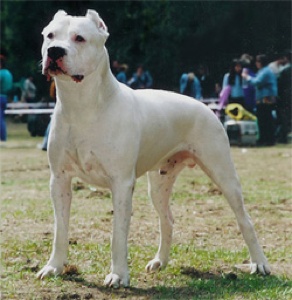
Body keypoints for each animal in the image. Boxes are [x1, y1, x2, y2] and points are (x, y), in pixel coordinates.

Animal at [37, 9, 272, 288]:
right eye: (50, 36)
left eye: (80, 38)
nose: (55, 51)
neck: (82, 106)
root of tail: (206, 107)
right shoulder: (59, 180)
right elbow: (60, 229)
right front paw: (54, 267)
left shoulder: (121, 183)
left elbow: (118, 235)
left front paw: (118, 275)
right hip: (159, 184)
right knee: (167, 219)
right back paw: (160, 261)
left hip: (223, 173)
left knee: (245, 219)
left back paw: (259, 264)